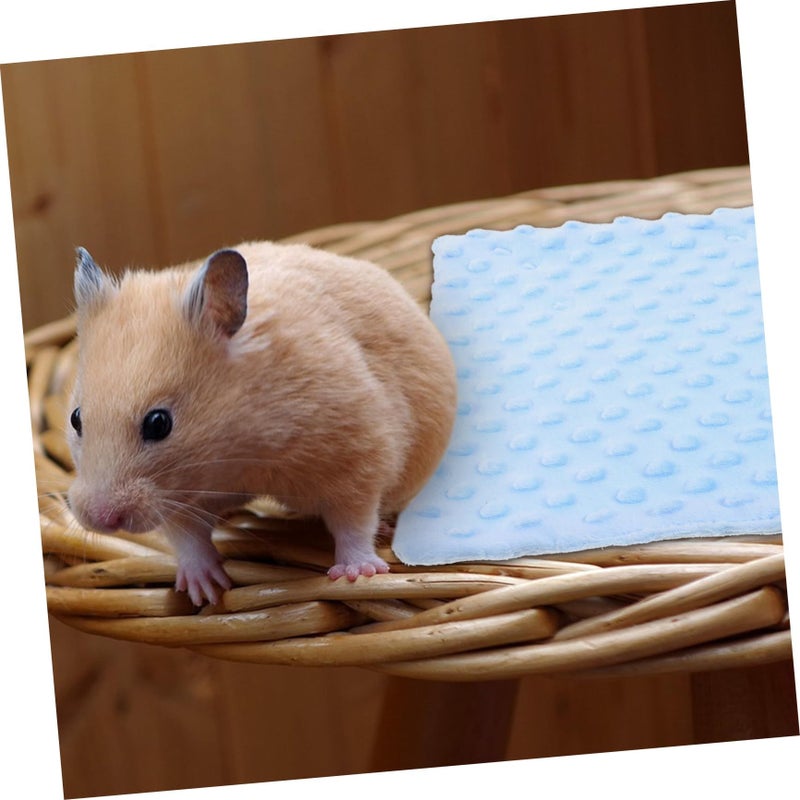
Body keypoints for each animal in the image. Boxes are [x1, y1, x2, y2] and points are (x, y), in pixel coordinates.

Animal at [66, 241, 457, 606]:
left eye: (159, 423)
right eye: (75, 418)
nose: (100, 520)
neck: (237, 451)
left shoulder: (358, 456)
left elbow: (355, 521)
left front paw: (356, 575)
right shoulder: (178, 500)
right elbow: (188, 537)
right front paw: (205, 591)